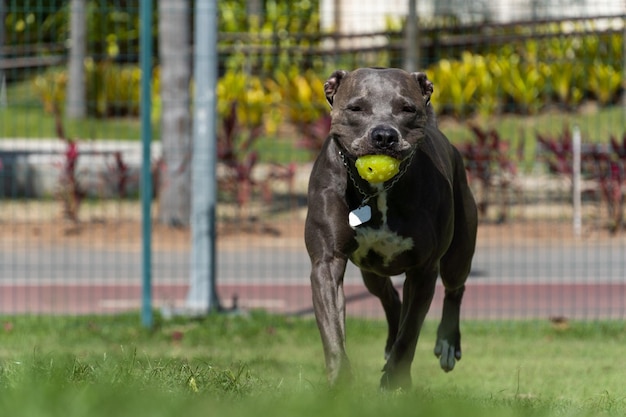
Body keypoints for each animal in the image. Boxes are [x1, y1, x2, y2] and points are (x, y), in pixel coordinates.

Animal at [304, 66, 476, 388]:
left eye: (407, 109)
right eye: (356, 108)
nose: (384, 135)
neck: (378, 190)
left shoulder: (424, 269)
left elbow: (410, 334)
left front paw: (394, 381)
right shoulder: (327, 261)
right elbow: (332, 327)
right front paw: (340, 380)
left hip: (459, 251)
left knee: (454, 288)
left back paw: (447, 343)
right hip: (371, 271)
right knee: (391, 298)